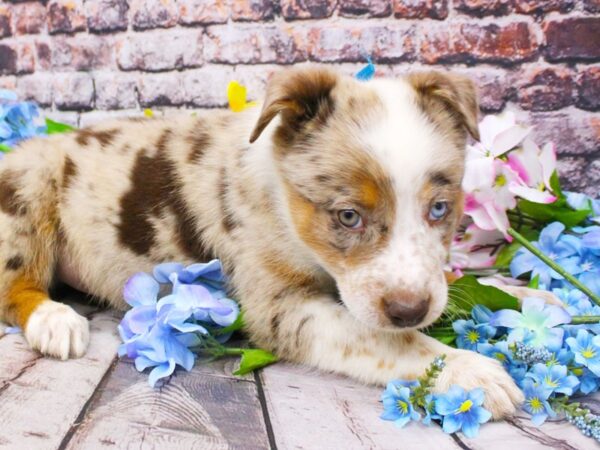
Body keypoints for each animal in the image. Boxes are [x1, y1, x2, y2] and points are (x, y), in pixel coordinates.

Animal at [0, 66, 524, 418]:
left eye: (439, 209)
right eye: (348, 216)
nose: (411, 310)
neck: (284, 205)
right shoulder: (280, 306)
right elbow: (383, 338)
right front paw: (469, 371)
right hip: (27, 192)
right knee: (14, 287)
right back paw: (54, 321)